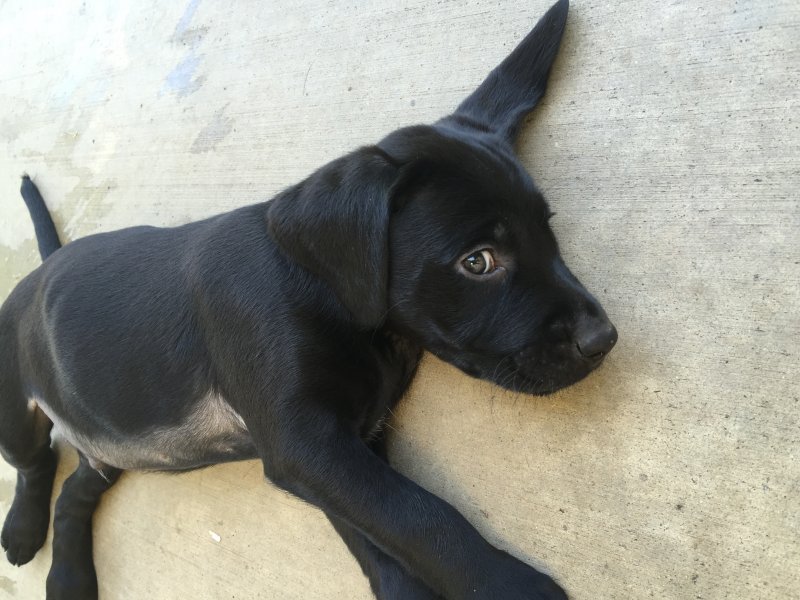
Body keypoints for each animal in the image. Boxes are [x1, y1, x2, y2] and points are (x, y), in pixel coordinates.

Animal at [0, 2, 620, 596]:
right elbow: (419, 517)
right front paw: (512, 586)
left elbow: (386, 538)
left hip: (109, 436)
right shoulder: (306, 443)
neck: (333, 300)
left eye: (548, 231)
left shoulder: (347, 443)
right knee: (38, 461)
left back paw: (68, 579)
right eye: (478, 261)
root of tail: (43, 269)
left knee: (75, 487)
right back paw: (23, 529)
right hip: (16, 409)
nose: (604, 339)